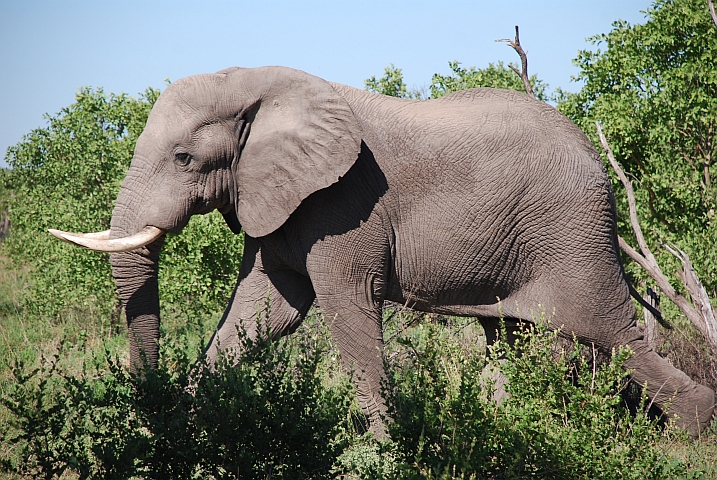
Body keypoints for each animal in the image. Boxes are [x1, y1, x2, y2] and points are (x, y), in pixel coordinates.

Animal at [49, 65, 712, 436]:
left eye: (185, 158)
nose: (151, 408)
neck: (264, 83)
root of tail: (595, 157)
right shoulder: (280, 199)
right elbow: (264, 311)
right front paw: (187, 429)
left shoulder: (345, 204)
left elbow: (347, 309)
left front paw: (380, 450)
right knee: (518, 342)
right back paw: (506, 427)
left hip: (573, 234)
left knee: (613, 335)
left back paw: (692, 435)